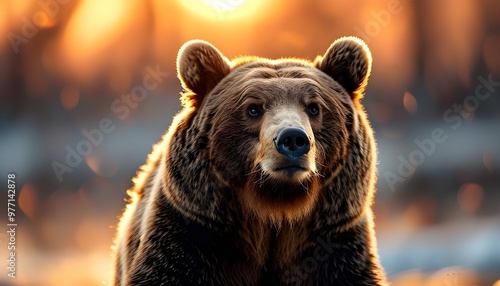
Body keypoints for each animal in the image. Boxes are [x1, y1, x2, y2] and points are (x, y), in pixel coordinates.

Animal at [112, 36, 386, 284]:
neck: (274, 211)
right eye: (253, 109)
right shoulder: (191, 232)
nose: (293, 138)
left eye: (314, 107)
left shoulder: (335, 243)